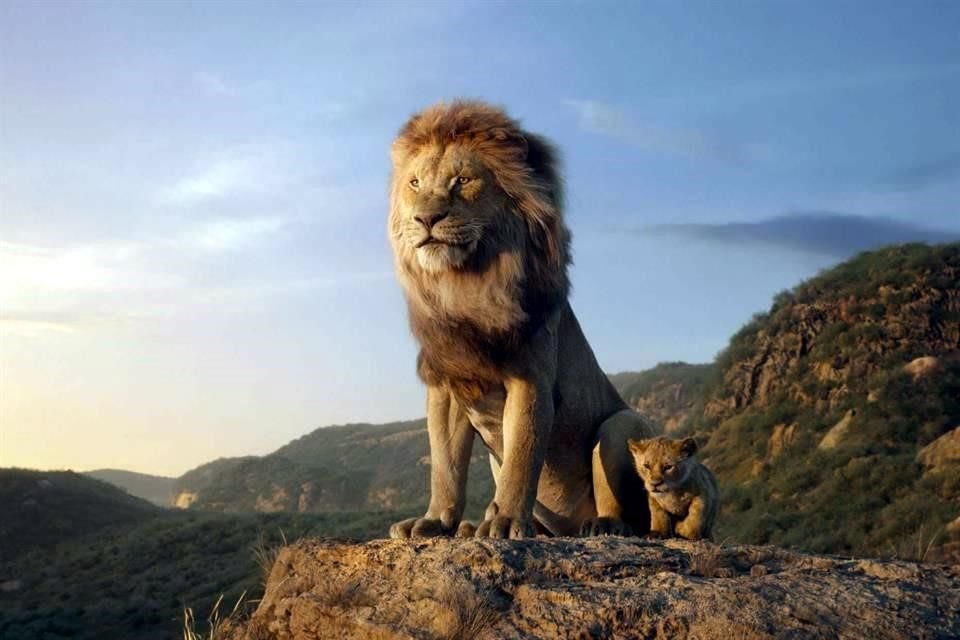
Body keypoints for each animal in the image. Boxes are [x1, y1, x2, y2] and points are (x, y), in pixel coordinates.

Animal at [387, 101, 656, 539]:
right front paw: (435, 521)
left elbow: (521, 457)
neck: (465, 285)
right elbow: (445, 466)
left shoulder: (530, 378)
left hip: (621, 424)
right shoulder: (448, 385)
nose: (426, 219)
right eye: (414, 183)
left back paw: (602, 525)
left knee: (630, 512)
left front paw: (507, 521)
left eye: (462, 180)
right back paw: (472, 527)